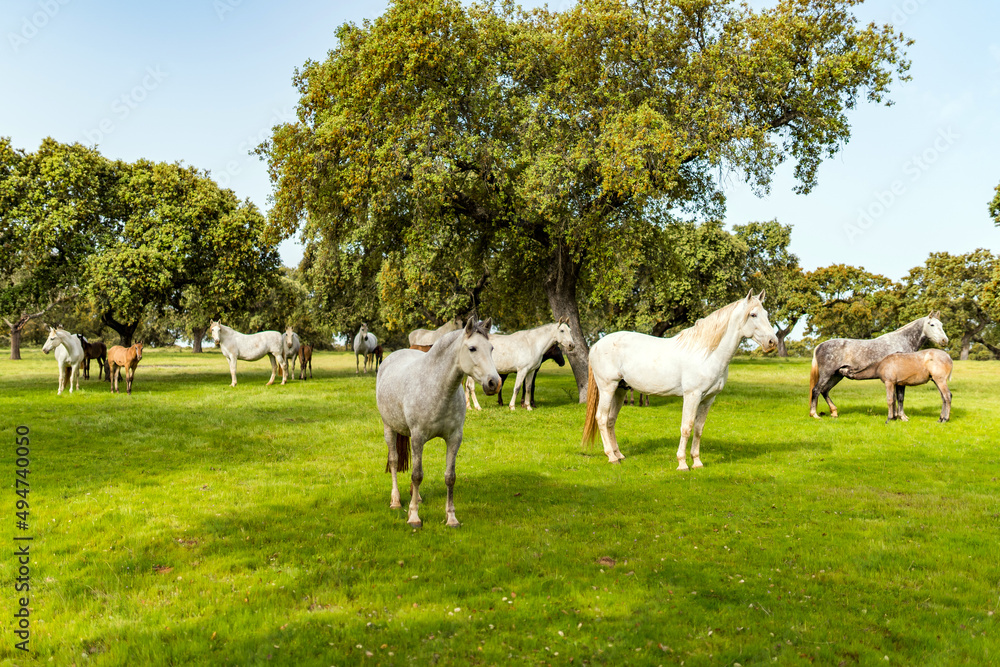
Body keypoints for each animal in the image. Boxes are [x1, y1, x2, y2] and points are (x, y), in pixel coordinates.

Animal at [376, 318, 500, 528]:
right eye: (472, 348)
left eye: (491, 348)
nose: (494, 383)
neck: (439, 388)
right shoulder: (418, 437)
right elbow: (417, 475)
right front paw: (414, 517)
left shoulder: (454, 438)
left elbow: (449, 477)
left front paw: (451, 518)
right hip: (389, 428)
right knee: (393, 461)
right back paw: (396, 501)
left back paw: (416, 498)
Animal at [582, 291, 778, 469]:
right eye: (753, 315)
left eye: (766, 314)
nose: (772, 342)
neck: (706, 353)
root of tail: (596, 345)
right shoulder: (692, 395)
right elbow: (687, 427)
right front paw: (682, 463)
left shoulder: (708, 399)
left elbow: (698, 429)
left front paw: (697, 462)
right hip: (608, 388)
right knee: (601, 418)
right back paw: (611, 457)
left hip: (620, 389)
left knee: (610, 420)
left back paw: (619, 455)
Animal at [809, 312, 948, 418]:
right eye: (932, 324)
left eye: (941, 324)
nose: (944, 341)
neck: (901, 341)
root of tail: (820, 346)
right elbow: (900, 397)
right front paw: (902, 417)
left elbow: (896, 397)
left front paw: (896, 416)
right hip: (827, 374)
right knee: (816, 390)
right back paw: (814, 414)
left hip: (837, 375)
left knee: (825, 391)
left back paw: (834, 412)